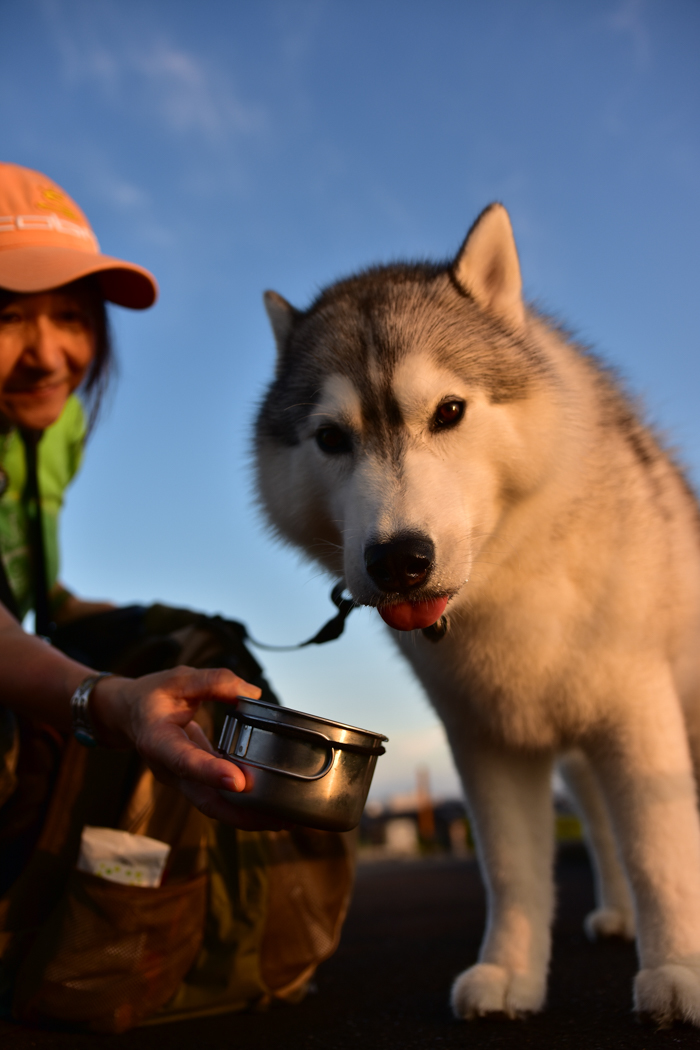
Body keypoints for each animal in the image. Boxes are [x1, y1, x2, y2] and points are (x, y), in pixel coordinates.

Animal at [255, 204, 700, 1024]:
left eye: (450, 412)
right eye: (331, 438)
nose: (399, 559)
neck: (509, 584)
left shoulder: (636, 716)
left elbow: (660, 853)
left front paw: (677, 970)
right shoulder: (487, 741)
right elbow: (513, 872)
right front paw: (511, 974)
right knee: (600, 827)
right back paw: (617, 917)